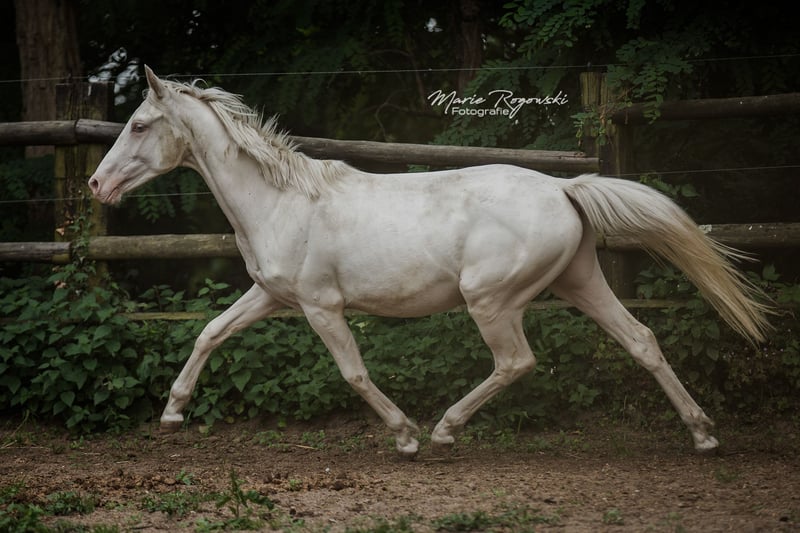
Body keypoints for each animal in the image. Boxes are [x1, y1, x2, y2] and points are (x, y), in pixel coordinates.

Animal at [89, 66, 770, 456]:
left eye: (140, 123)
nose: (97, 185)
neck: (282, 201)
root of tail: (563, 189)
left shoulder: (319, 306)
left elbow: (353, 373)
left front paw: (405, 437)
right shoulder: (271, 296)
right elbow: (209, 333)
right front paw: (172, 413)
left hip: (492, 300)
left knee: (517, 361)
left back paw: (443, 429)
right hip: (580, 282)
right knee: (642, 339)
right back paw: (703, 435)